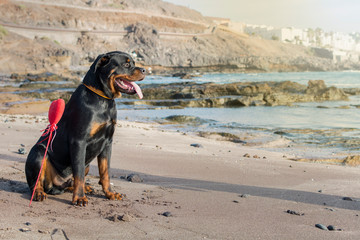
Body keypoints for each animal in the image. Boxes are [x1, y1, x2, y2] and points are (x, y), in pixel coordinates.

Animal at [24, 51, 146, 206]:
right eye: (126, 64)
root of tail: (54, 186)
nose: (144, 70)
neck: (103, 100)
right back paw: (39, 193)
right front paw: (79, 198)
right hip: (38, 153)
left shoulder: (107, 143)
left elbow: (105, 172)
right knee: (36, 182)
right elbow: (79, 174)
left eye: (134, 63)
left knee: (70, 181)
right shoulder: (79, 141)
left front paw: (110, 194)